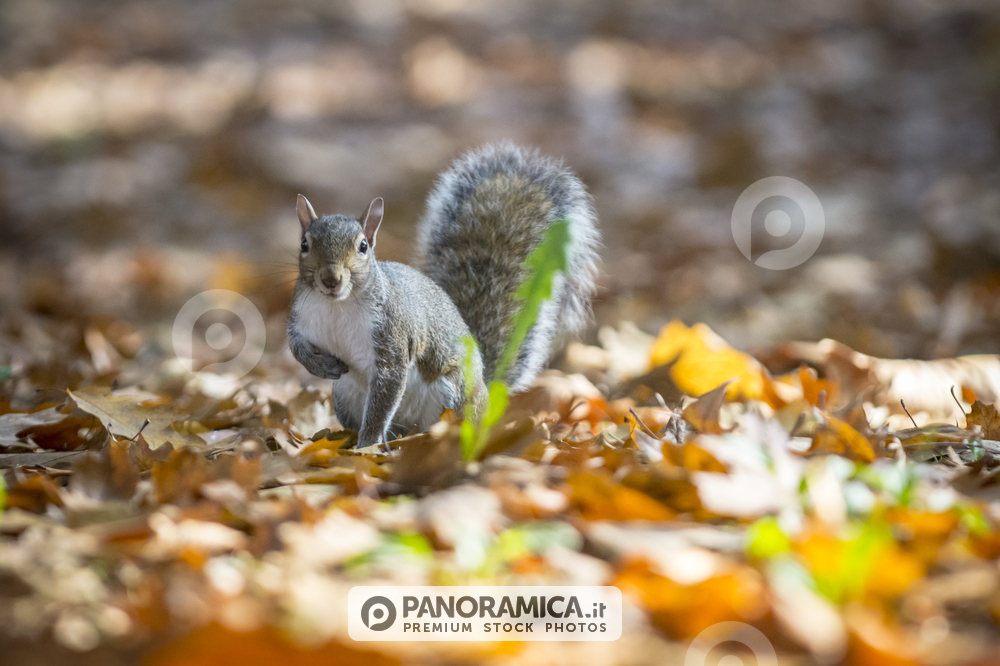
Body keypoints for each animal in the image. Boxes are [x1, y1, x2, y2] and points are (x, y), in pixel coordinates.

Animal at [287, 143, 600, 448]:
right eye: (304, 244)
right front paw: (318, 365)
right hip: (344, 394)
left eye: (363, 246)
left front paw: (368, 445)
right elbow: (296, 346)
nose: (330, 279)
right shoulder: (300, 318)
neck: (336, 306)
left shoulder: (392, 337)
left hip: (452, 393)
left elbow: (385, 395)